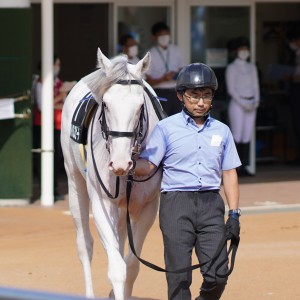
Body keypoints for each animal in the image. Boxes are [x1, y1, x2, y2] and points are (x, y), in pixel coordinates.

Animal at [60, 48, 162, 298]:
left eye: (140, 106)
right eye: (105, 104)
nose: (120, 162)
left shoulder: (148, 206)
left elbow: (132, 265)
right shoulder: (102, 203)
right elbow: (117, 268)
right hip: (75, 184)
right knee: (85, 244)